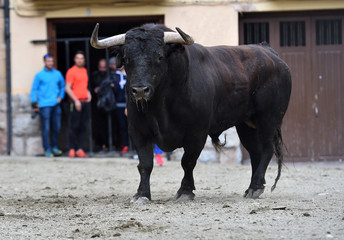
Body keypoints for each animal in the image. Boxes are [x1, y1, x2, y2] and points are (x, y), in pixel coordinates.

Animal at [90, 23, 290, 202]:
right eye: (126, 58)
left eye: (159, 57)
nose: (140, 90)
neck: (159, 106)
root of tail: (269, 52)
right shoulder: (138, 131)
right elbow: (145, 164)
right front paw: (141, 194)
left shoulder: (197, 133)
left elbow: (187, 162)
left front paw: (185, 191)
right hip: (246, 124)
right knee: (255, 151)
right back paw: (252, 187)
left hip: (269, 119)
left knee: (267, 148)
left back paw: (256, 187)